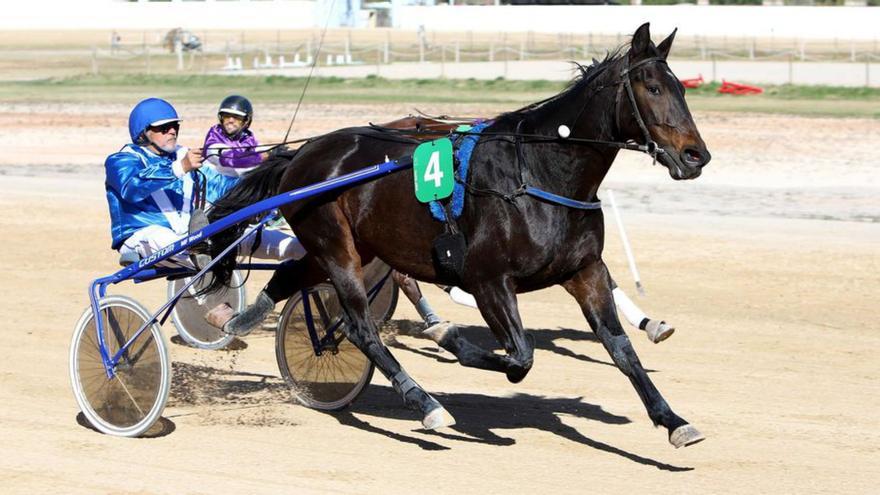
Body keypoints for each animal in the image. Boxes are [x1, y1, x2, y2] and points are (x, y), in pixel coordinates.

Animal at [210, 24, 712, 450]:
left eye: (682, 88)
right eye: (651, 87)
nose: (697, 156)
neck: (540, 173)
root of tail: (302, 154)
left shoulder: (584, 270)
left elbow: (621, 349)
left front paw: (673, 421)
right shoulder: (488, 280)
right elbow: (520, 356)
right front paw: (449, 336)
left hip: (350, 247)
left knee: (293, 276)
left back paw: (238, 319)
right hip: (338, 249)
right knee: (360, 328)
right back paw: (426, 403)